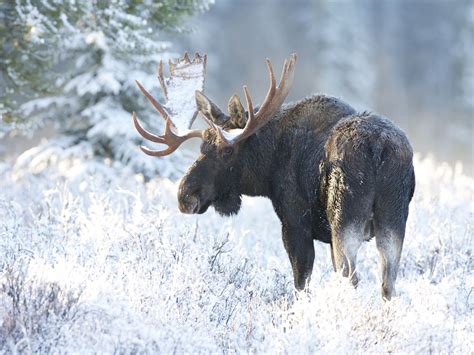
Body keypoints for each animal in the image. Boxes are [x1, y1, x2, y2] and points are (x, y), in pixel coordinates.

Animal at [132, 52, 414, 302]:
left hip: (345, 217)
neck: (269, 167)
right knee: (388, 283)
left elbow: (301, 283)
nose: (185, 195)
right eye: (202, 147)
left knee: (352, 277)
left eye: (227, 150)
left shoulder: (294, 223)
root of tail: (378, 147)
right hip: (393, 219)